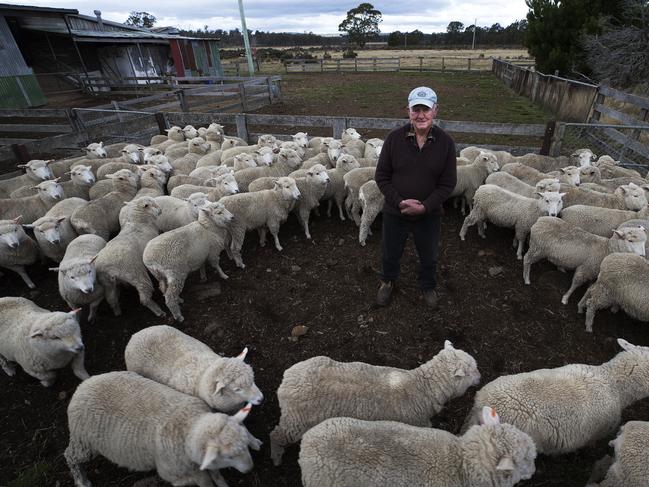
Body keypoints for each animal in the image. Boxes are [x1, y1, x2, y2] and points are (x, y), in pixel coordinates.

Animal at [64, 370, 260, 487]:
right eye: (229, 456)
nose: (250, 469)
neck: (188, 424)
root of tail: (82, 387)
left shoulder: (202, 461)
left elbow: (217, 475)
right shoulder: (181, 474)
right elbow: (206, 482)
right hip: (84, 441)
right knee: (71, 456)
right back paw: (81, 480)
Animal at [268, 340, 476, 468]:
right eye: (472, 370)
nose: (480, 378)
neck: (422, 387)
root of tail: (287, 379)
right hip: (296, 421)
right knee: (276, 435)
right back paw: (276, 456)